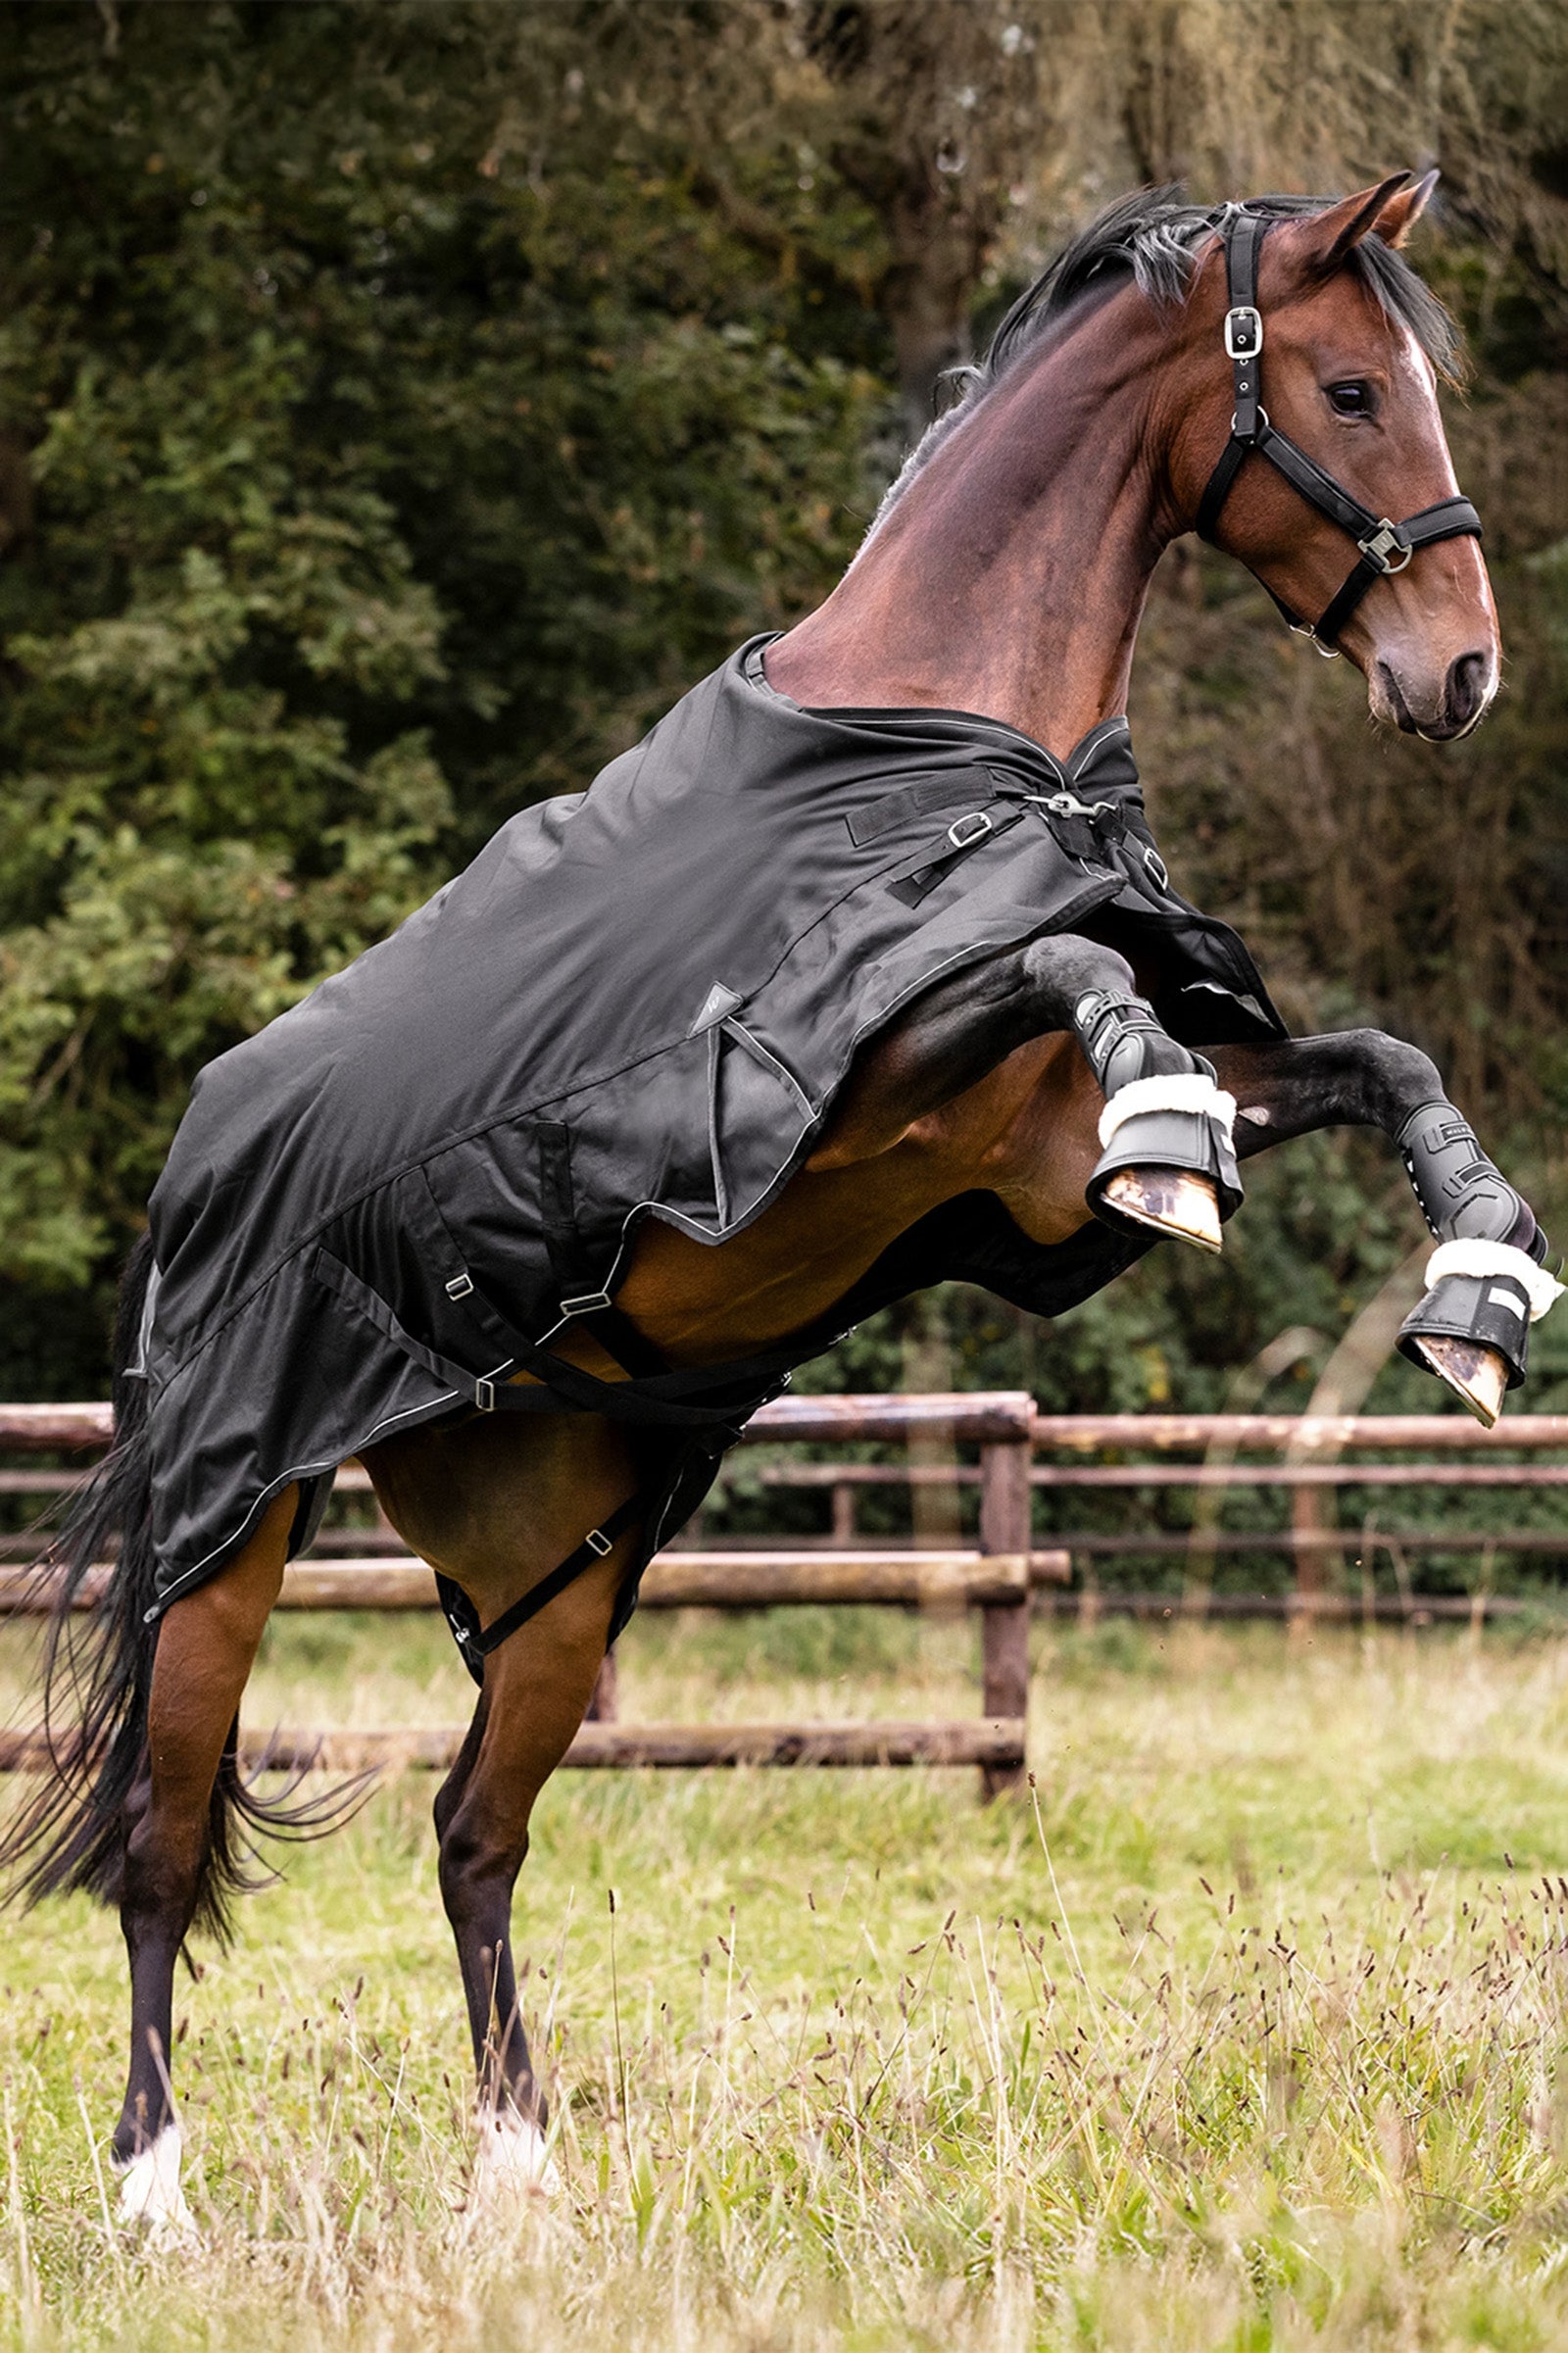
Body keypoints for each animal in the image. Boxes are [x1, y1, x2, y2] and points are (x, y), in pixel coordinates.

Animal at [3, 172, 1555, 2235]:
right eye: (1358, 389)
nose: (1456, 672)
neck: (938, 751)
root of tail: (191, 1172)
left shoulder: (1024, 1168)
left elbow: (1378, 1058)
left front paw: (1478, 1291)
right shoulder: (845, 1084)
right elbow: (1073, 963)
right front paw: (1182, 1136)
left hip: (561, 1575)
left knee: (471, 1833)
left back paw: (521, 2169)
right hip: (224, 1540)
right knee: (165, 1841)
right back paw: (155, 2193)